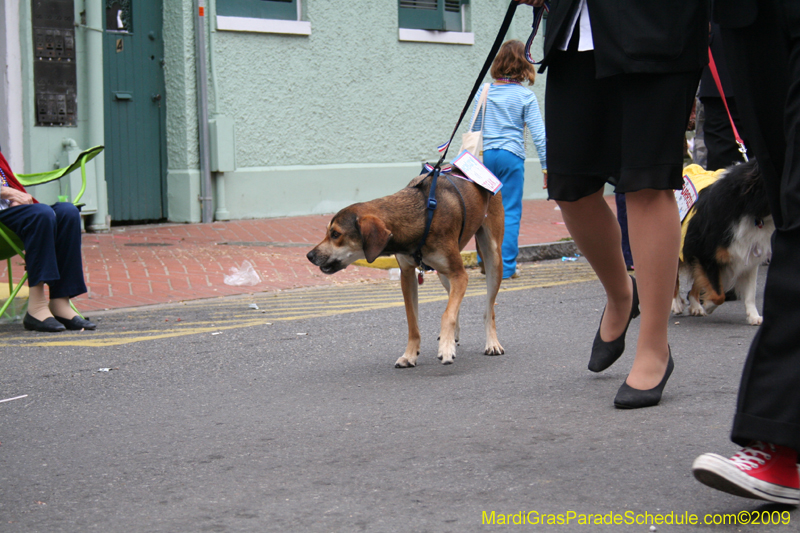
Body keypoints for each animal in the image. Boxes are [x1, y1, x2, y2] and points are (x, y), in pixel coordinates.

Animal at [308, 170, 504, 366]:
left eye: (336, 234)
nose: (309, 255)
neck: (421, 218)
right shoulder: (408, 276)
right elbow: (413, 321)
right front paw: (410, 354)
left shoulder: (460, 275)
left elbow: (447, 314)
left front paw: (446, 349)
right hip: (443, 274)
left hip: (493, 257)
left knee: (489, 310)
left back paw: (492, 343)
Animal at [672, 159, 780, 324]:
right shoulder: (705, 253)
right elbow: (718, 294)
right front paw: (709, 305)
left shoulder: (749, 254)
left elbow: (750, 293)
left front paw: (754, 317)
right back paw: (676, 303)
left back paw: (695, 306)